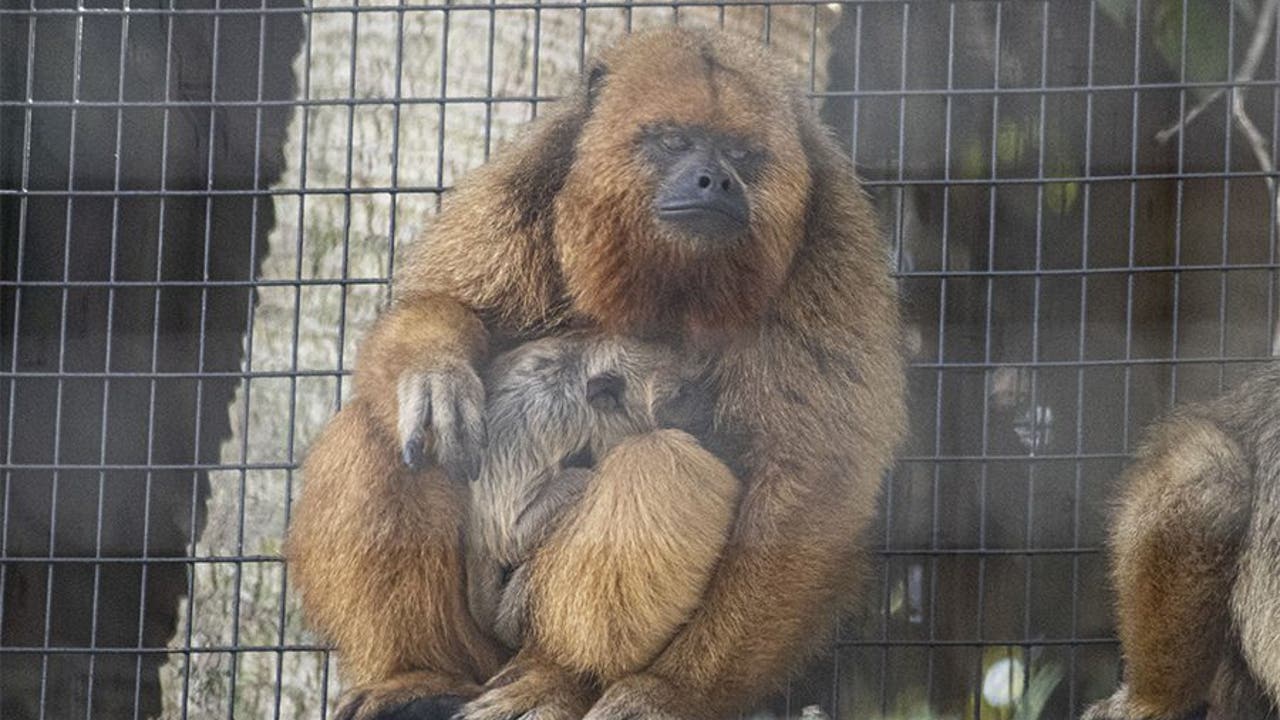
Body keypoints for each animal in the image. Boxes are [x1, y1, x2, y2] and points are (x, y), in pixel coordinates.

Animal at [289, 26, 906, 717]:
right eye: (673, 141)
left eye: (742, 155)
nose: (714, 181)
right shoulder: (529, 181)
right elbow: (446, 305)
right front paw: (434, 365)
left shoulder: (836, 249)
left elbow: (809, 484)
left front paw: (672, 691)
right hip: (481, 647)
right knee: (387, 430)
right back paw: (418, 677)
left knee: (663, 464)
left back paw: (561, 673)